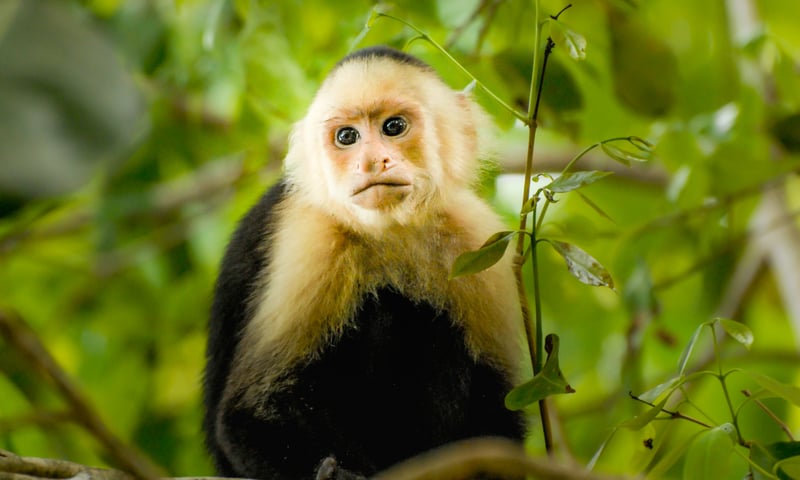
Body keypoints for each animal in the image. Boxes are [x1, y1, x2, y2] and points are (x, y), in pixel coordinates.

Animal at [203, 46, 526, 480]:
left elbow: (499, 421)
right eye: (347, 137)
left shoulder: (478, 237)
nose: (372, 161)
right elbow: (247, 416)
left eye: (393, 127)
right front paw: (334, 473)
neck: (391, 231)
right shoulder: (312, 237)